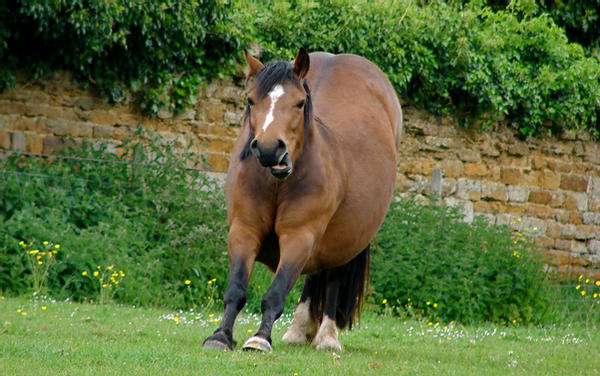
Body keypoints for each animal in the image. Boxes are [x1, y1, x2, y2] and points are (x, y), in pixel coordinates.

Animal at [203, 47, 404, 352]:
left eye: (299, 104)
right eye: (250, 100)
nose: (269, 149)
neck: (277, 183)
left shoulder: (299, 236)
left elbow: (276, 292)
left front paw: (260, 338)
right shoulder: (243, 230)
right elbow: (236, 289)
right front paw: (221, 336)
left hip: (346, 234)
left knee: (333, 277)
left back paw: (327, 336)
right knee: (315, 273)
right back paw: (300, 329)